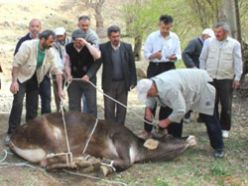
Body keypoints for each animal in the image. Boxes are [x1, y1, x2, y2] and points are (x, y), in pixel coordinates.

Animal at [8, 112, 197, 174]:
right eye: (169, 136)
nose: (191, 138)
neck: (137, 148)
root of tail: (13, 137)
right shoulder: (120, 138)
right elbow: (126, 162)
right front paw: (107, 165)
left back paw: (86, 161)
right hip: (52, 139)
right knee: (48, 161)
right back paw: (83, 162)